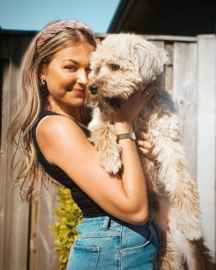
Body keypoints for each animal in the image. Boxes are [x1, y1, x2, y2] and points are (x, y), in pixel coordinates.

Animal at [87, 33, 215, 270]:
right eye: (97, 68)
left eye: (115, 66)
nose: (92, 87)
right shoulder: (99, 121)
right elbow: (104, 131)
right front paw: (111, 159)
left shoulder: (168, 142)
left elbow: (181, 179)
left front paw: (191, 222)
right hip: (167, 255)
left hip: (194, 253)